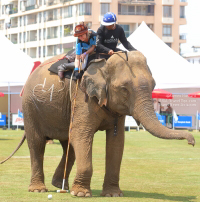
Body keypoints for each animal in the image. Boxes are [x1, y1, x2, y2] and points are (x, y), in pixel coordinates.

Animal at [0, 50, 195, 197]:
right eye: (124, 89)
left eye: (154, 85)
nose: (192, 142)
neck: (103, 63)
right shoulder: (82, 96)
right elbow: (82, 134)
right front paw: (81, 194)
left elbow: (117, 142)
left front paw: (113, 194)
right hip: (30, 108)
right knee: (37, 144)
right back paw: (39, 190)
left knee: (69, 145)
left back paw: (61, 186)